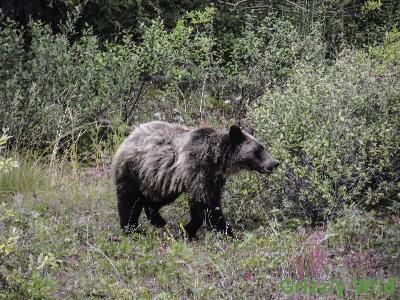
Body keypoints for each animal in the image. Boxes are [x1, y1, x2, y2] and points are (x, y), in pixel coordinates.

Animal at [112, 120, 280, 240]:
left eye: (262, 147)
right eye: (258, 150)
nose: (275, 163)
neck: (217, 158)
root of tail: (129, 136)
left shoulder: (213, 177)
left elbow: (207, 203)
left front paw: (188, 231)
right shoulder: (199, 167)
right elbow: (206, 205)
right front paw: (229, 233)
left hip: (163, 177)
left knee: (159, 197)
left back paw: (157, 218)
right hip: (134, 170)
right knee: (129, 201)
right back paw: (132, 229)